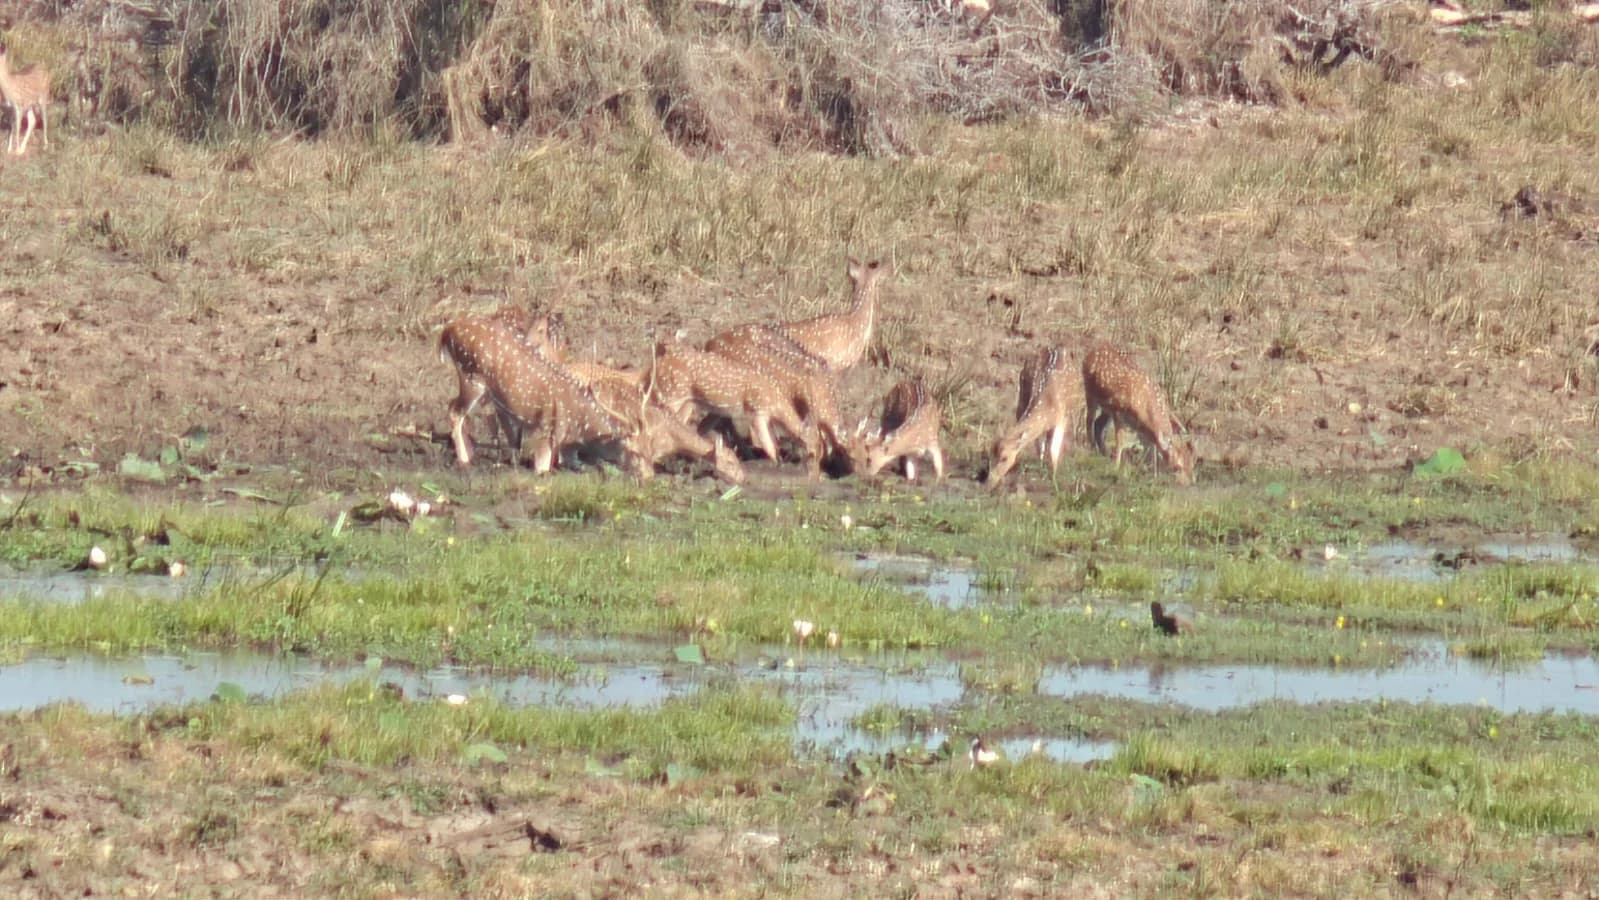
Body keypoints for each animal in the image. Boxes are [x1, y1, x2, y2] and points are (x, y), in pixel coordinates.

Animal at [985, 346, 1082, 488]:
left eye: (1004, 458)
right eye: (990, 455)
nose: (989, 482)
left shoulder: (1061, 418)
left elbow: (1054, 448)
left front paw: (1053, 477)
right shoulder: (1021, 405)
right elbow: (1038, 444)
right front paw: (1041, 467)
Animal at [1081, 343, 1194, 484]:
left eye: (1192, 464)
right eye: (1176, 467)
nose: (1187, 483)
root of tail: (1091, 351)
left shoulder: (1140, 426)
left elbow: (1150, 447)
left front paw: (1153, 474)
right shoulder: (1119, 412)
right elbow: (1121, 440)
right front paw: (1116, 467)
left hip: (1106, 408)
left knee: (1098, 424)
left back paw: (1103, 453)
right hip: (1089, 392)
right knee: (1089, 419)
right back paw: (1092, 449)